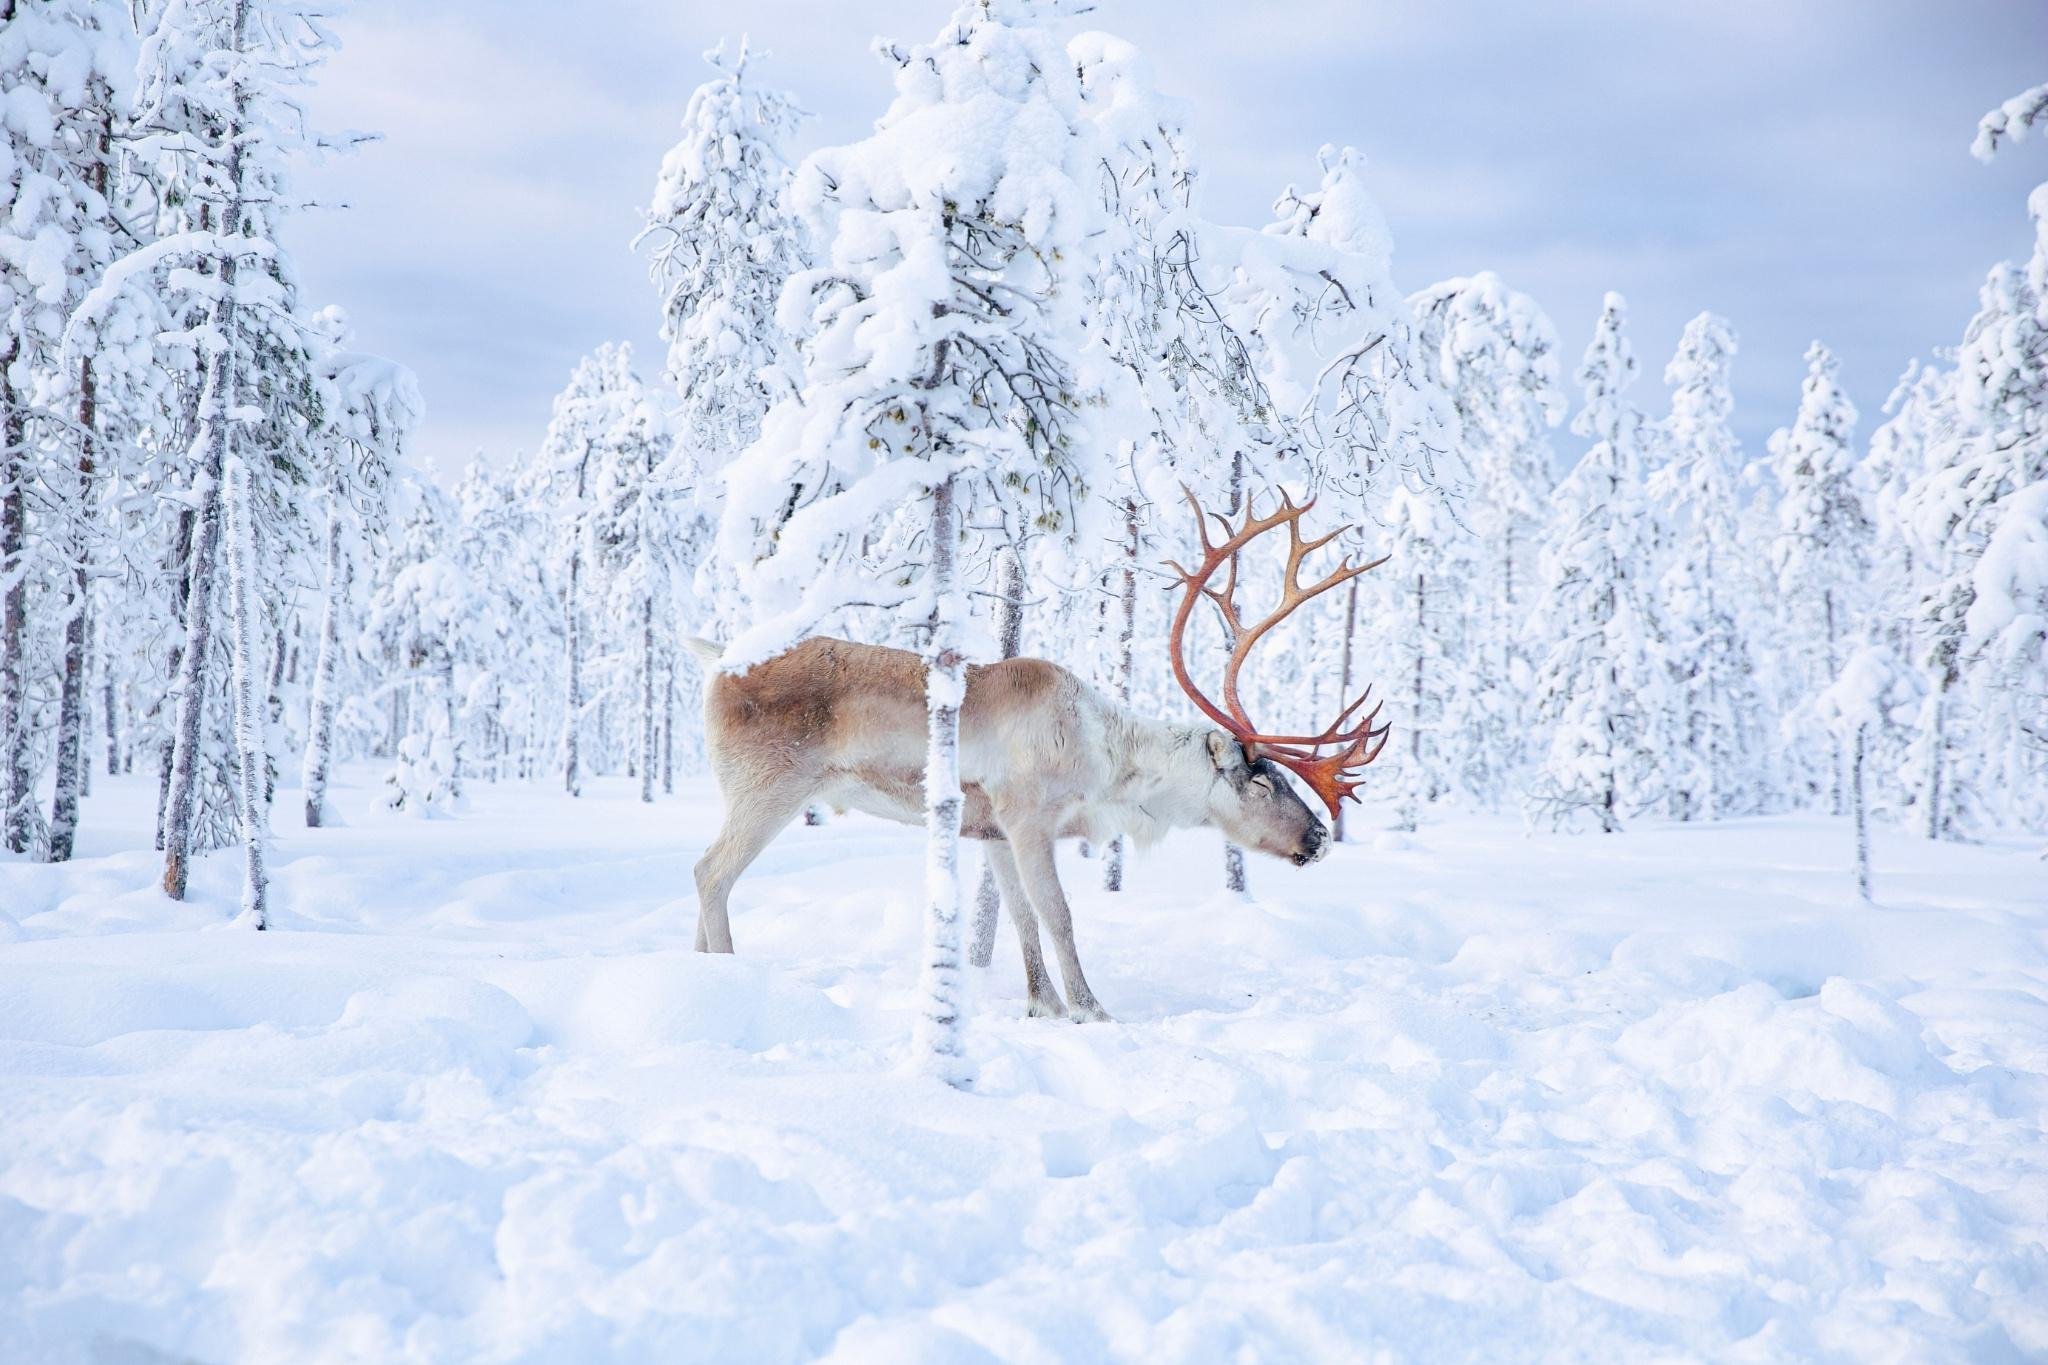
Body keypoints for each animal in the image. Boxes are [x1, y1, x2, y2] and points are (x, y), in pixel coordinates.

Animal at [684, 488, 1392, 1021]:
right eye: (1262, 781)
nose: (1319, 839)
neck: (1109, 765)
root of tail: (715, 662)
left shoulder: (990, 829)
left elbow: (1021, 920)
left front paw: (1042, 1005)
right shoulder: (1029, 819)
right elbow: (1059, 917)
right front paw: (1091, 1010)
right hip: (771, 788)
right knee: (711, 871)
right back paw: (729, 975)